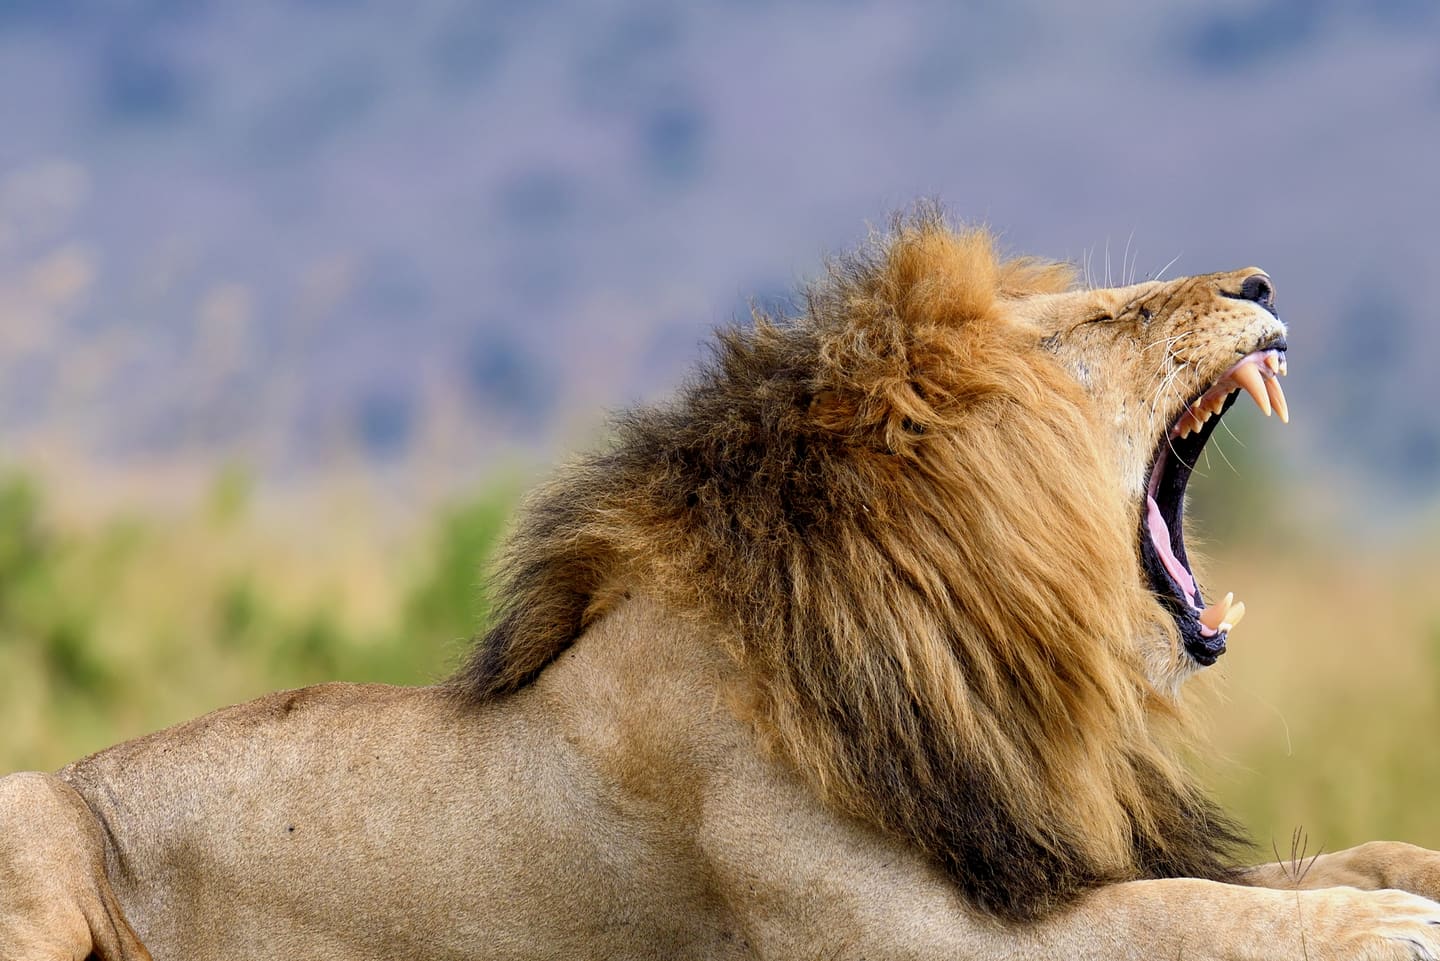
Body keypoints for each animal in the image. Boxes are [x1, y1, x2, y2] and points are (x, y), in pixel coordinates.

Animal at [5, 210, 1440, 961]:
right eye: (1108, 320)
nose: (1257, 278)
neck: (970, 647)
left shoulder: (1029, 845)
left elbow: (1296, 863)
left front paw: (1405, 872)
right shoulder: (913, 933)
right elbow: (1187, 910)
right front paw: (1384, 924)